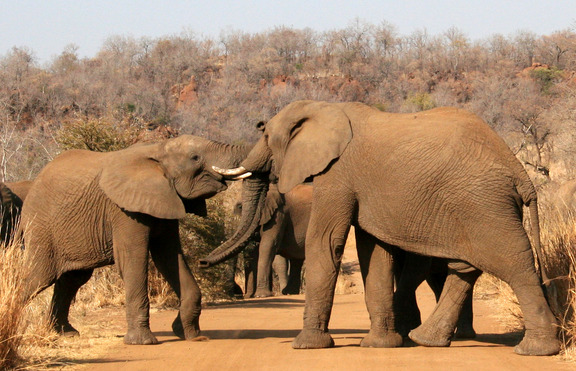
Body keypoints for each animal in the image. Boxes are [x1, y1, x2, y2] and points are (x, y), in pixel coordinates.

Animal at [20, 136, 252, 346]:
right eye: (195, 158)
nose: (203, 262)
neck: (158, 151)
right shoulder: (125, 209)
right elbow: (133, 259)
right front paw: (143, 342)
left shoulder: (165, 199)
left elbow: (169, 257)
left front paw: (191, 335)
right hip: (40, 226)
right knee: (39, 276)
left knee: (71, 280)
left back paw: (66, 333)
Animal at [201, 100, 560, 356]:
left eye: (265, 137)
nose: (202, 261)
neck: (324, 107)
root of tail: (521, 173)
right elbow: (374, 252)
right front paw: (380, 345)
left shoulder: (337, 174)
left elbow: (326, 242)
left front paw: (306, 346)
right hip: (472, 208)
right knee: (465, 267)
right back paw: (425, 340)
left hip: (485, 204)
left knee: (514, 264)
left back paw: (535, 351)